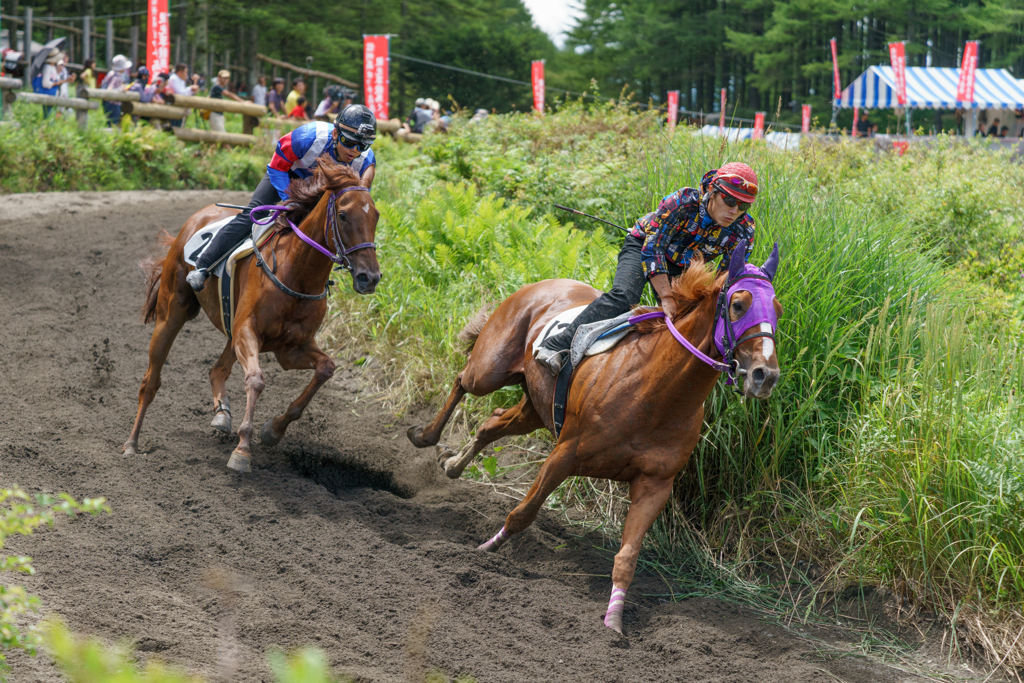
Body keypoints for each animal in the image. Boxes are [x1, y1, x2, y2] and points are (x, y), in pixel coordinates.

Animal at [124, 160, 380, 473]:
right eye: (343, 215)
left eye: (376, 216)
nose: (370, 277)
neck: (297, 272)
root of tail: (198, 216)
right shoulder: (250, 331)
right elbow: (256, 380)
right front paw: (242, 449)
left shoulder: (290, 348)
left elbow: (326, 368)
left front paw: (273, 430)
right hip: (171, 313)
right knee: (151, 381)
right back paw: (132, 443)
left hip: (231, 327)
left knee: (217, 369)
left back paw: (222, 414)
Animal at [403, 242, 778, 634]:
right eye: (738, 304)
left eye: (778, 310)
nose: (765, 375)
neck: (655, 392)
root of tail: (540, 283)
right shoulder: (565, 454)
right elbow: (523, 513)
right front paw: (485, 550)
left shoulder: (655, 484)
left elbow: (628, 557)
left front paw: (614, 620)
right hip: (490, 369)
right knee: (463, 380)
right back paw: (425, 435)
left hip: (534, 409)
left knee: (490, 424)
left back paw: (452, 464)